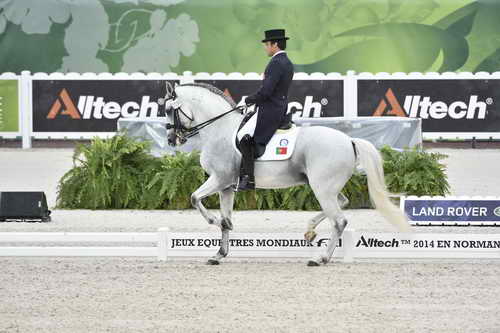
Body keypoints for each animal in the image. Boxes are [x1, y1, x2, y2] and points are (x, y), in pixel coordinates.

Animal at [161, 81, 410, 264]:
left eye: (168, 110)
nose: (172, 140)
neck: (219, 130)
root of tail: (349, 140)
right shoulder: (226, 187)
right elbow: (225, 219)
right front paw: (219, 254)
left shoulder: (219, 179)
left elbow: (194, 198)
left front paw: (212, 221)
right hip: (324, 186)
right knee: (343, 202)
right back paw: (310, 231)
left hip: (322, 188)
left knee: (339, 220)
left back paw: (320, 258)